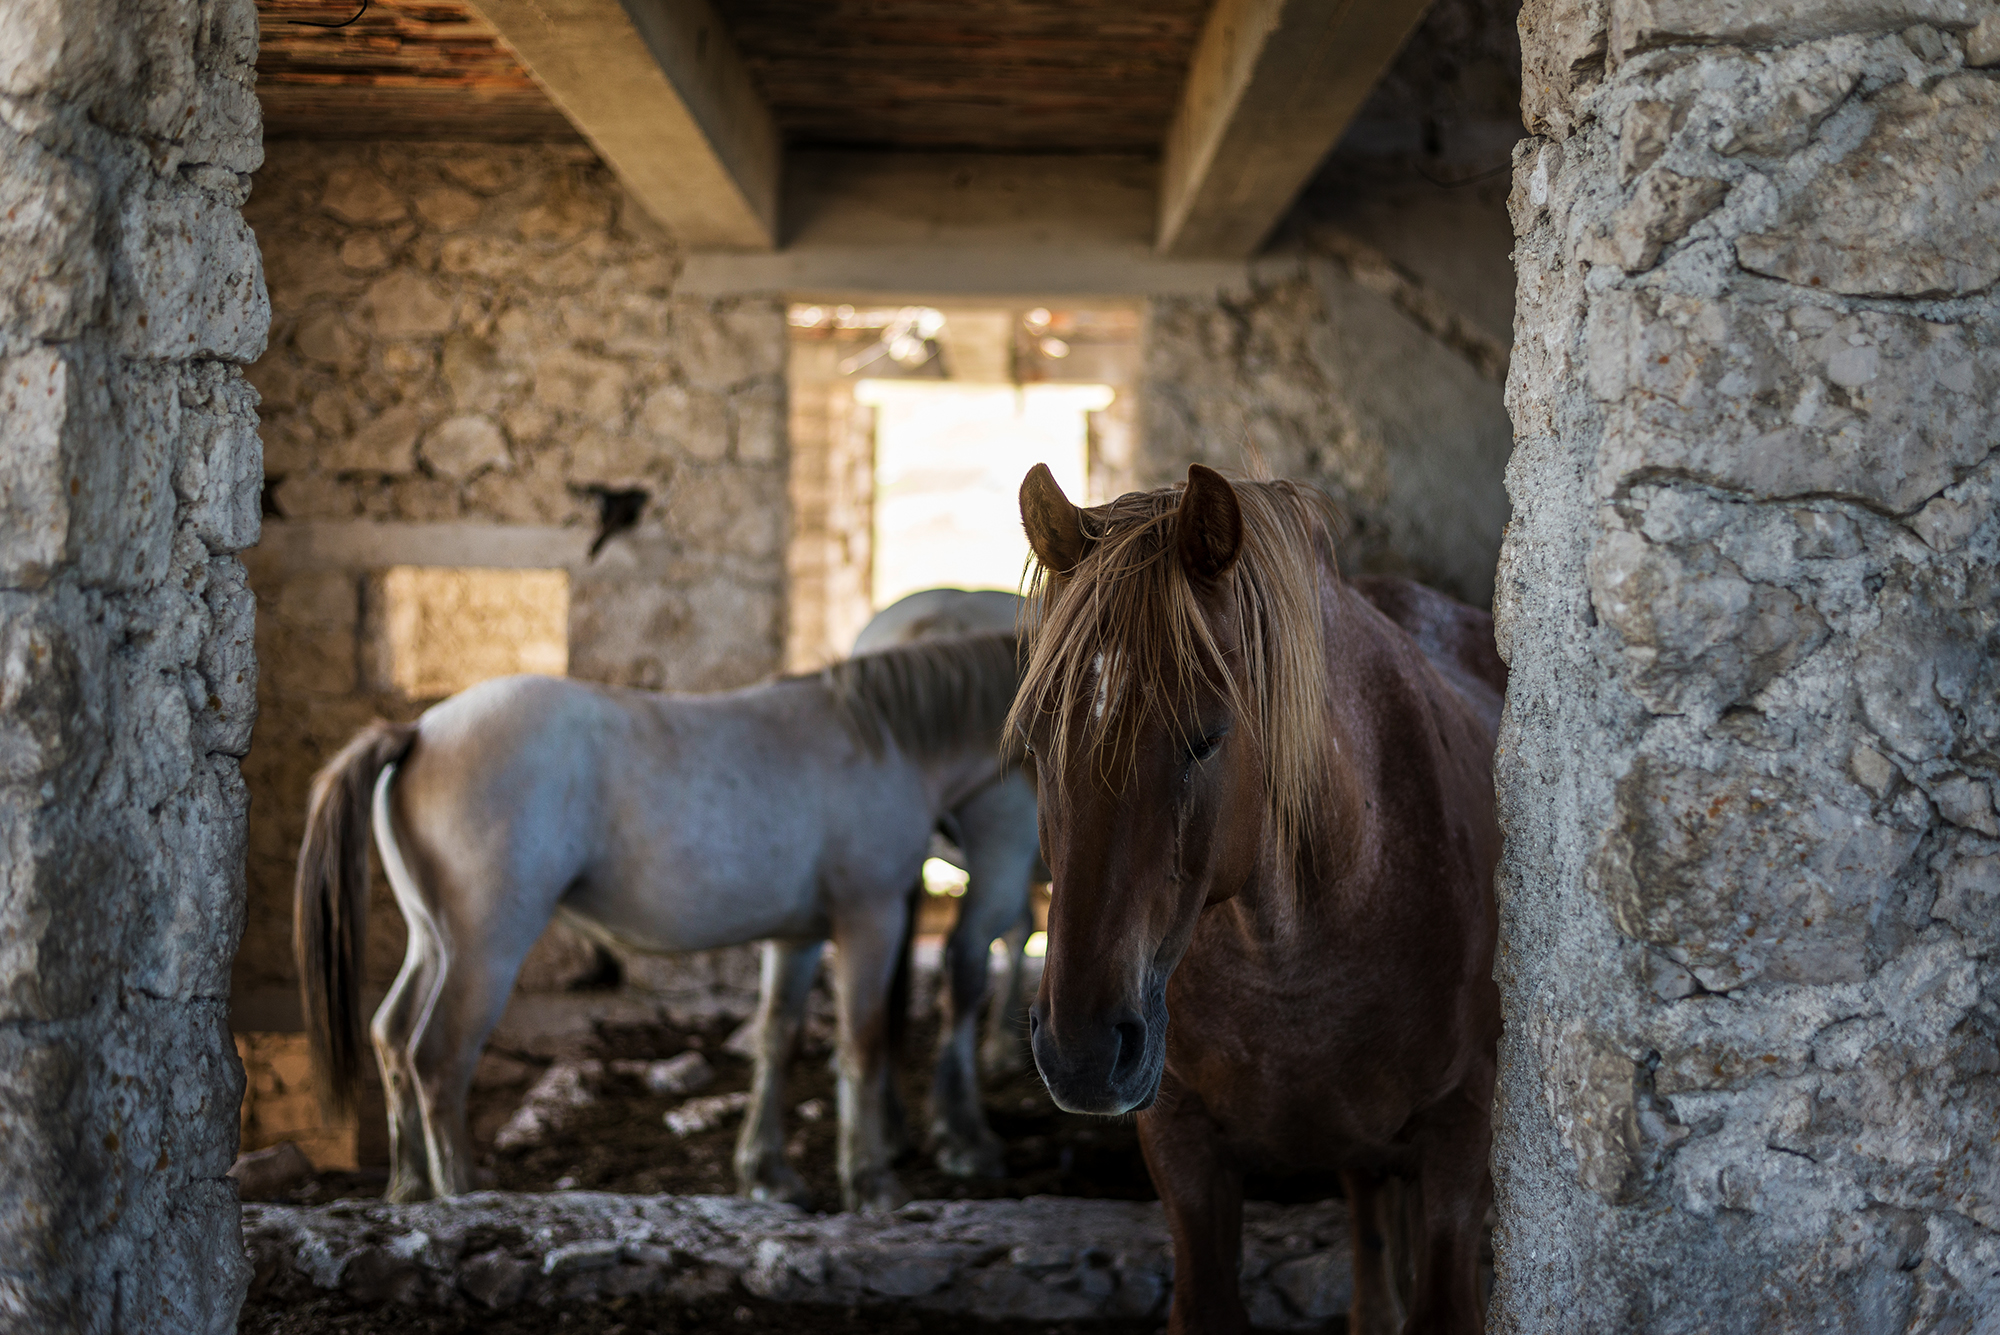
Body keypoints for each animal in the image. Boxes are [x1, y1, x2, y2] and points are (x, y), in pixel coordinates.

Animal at [292, 635, 1016, 1207]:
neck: (884, 742)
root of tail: (417, 731)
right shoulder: (871, 919)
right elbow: (861, 1046)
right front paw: (871, 1183)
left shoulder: (799, 937)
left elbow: (777, 1038)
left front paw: (769, 1174)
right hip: (482, 951)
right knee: (437, 1058)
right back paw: (462, 1197)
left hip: (432, 943)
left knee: (390, 1036)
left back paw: (411, 1188)